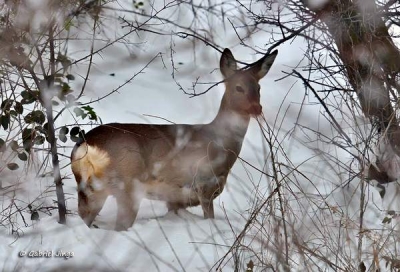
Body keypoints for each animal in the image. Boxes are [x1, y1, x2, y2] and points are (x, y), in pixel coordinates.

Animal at [71, 47, 278, 230]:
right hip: (128, 184)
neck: (218, 141)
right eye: (238, 88)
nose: (256, 108)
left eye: (258, 87)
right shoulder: (204, 183)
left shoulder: (175, 199)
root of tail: (87, 144)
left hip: (91, 188)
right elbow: (209, 216)